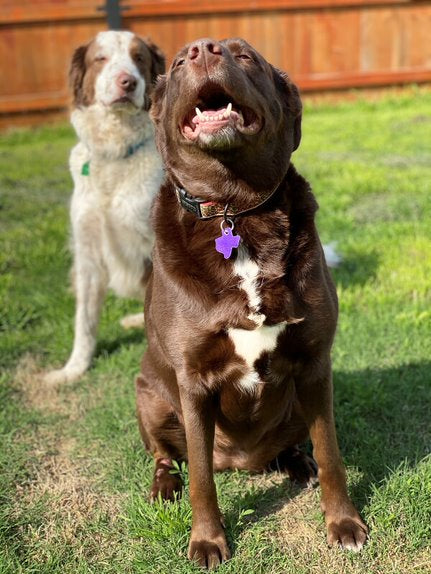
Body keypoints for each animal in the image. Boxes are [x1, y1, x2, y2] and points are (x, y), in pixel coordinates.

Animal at [45, 29, 164, 384]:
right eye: (101, 58)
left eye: (139, 58)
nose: (128, 82)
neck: (116, 155)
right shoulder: (88, 252)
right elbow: (84, 322)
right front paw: (73, 369)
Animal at [138, 37, 368, 572]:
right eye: (177, 63)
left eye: (245, 56)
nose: (202, 49)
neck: (234, 211)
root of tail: (242, 463)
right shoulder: (193, 381)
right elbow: (201, 478)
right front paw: (207, 541)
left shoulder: (315, 363)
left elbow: (332, 452)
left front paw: (344, 523)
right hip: (147, 394)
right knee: (168, 456)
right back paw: (163, 486)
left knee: (297, 443)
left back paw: (297, 462)